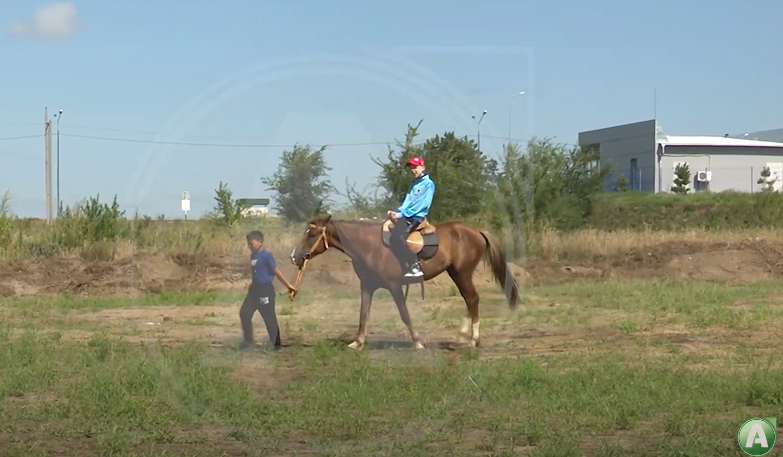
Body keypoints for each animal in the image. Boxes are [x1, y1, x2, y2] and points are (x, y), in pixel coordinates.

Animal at [288, 214, 520, 350]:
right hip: (456, 273)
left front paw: (417, 341)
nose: (294, 256)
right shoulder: (367, 286)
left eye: (312, 233)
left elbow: (404, 314)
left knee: (472, 298)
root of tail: (475, 231)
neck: (370, 246)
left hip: (462, 273)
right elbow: (364, 313)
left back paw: (473, 339)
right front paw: (357, 341)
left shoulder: (394, 286)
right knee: (469, 299)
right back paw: (464, 335)